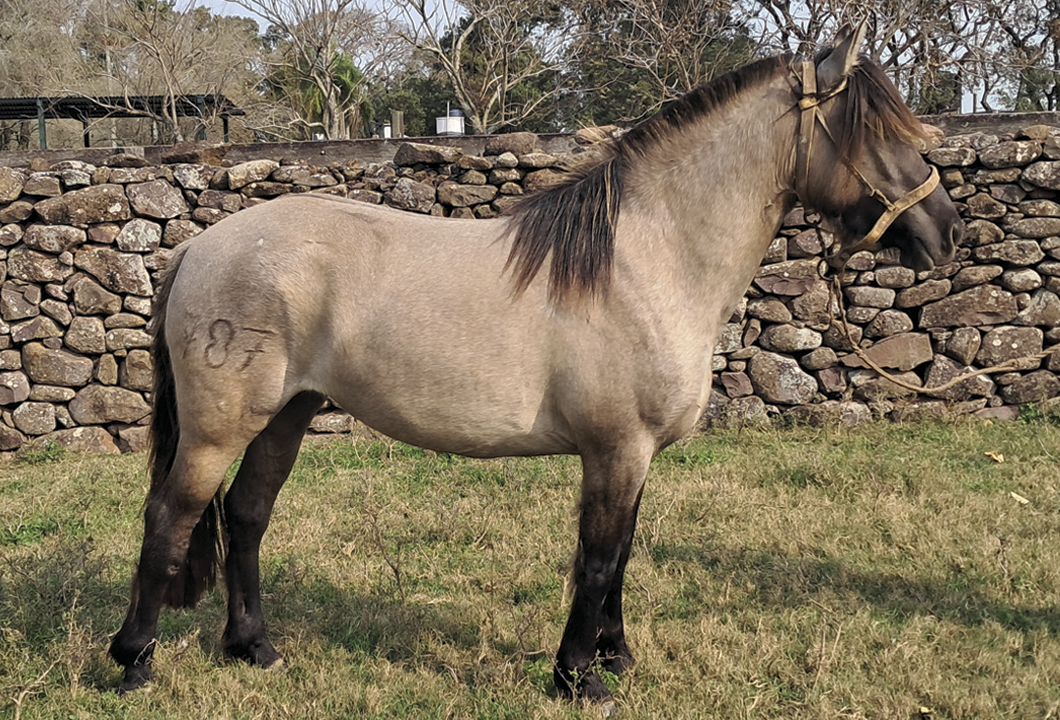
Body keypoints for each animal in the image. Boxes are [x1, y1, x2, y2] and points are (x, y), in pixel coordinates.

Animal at [111, 26, 966, 708]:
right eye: (874, 132)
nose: (945, 231)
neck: (646, 259)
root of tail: (199, 246)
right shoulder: (615, 449)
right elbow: (596, 560)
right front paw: (579, 678)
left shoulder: (635, 455)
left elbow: (620, 556)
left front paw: (616, 659)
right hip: (220, 427)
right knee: (170, 517)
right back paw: (133, 662)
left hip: (285, 415)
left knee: (246, 517)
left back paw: (254, 648)